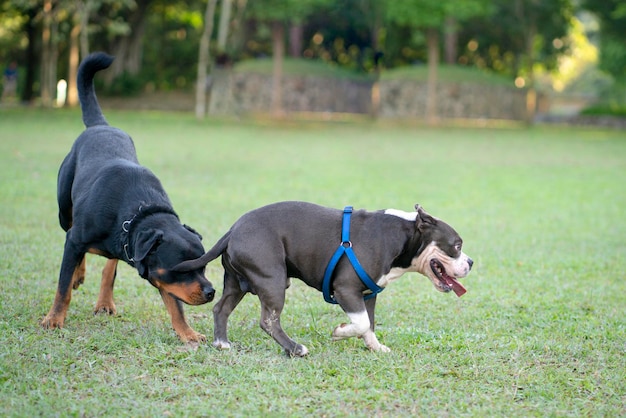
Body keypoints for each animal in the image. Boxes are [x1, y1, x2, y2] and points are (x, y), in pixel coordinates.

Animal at [40, 52, 214, 342]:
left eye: (203, 267)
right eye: (182, 269)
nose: (211, 292)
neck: (140, 210)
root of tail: (101, 125)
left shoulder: (152, 266)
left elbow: (175, 306)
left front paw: (188, 333)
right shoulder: (77, 238)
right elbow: (62, 286)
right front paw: (54, 319)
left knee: (109, 266)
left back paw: (105, 301)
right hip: (64, 212)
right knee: (73, 239)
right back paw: (78, 275)